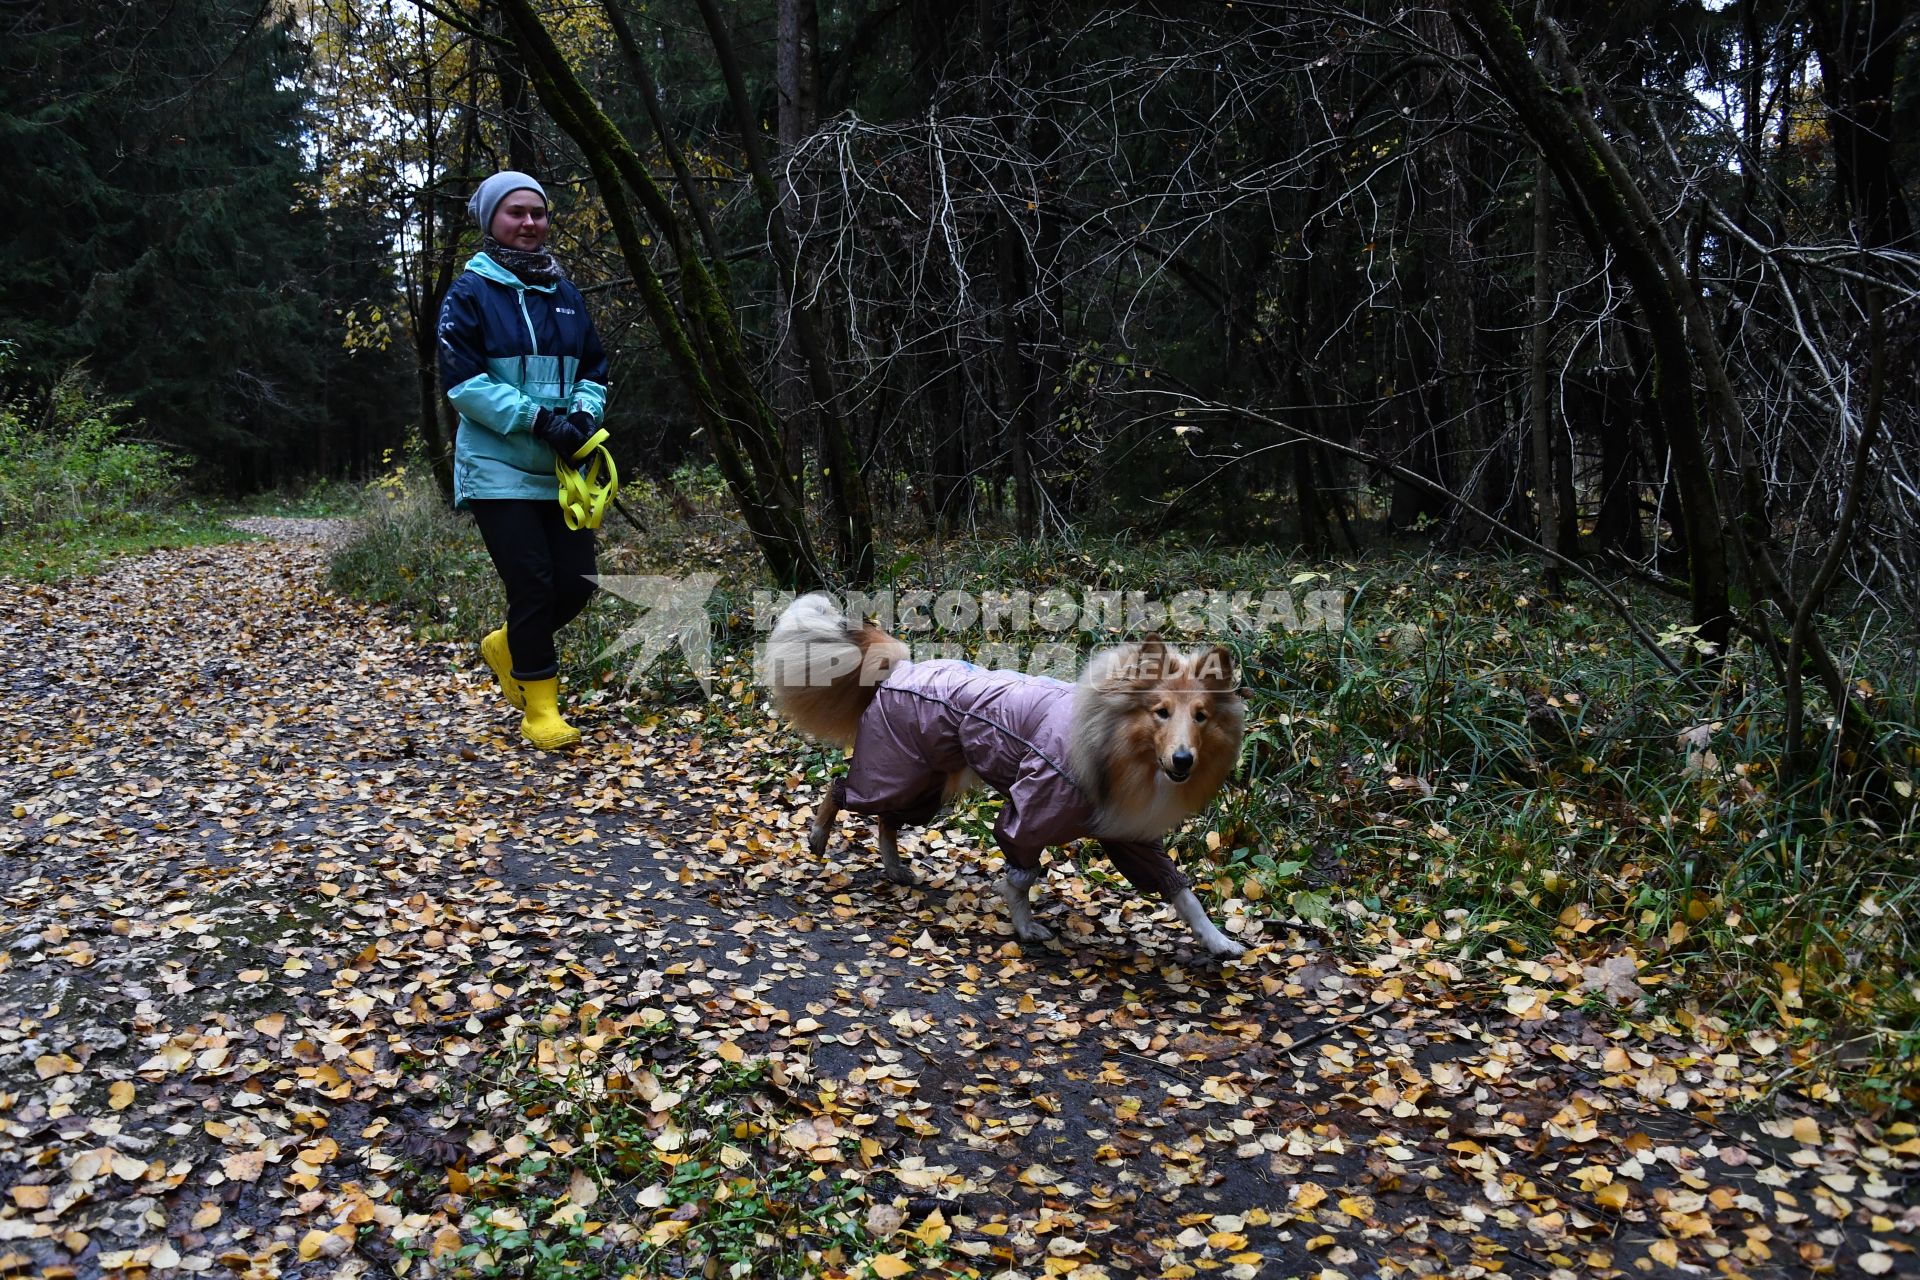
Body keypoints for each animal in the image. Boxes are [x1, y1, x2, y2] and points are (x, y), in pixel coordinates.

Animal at [764, 591, 1244, 951]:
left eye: (1201, 717)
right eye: (1160, 712)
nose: (1183, 760)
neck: (1111, 743)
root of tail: (901, 666)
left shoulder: (1128, 835)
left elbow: (1181, 891)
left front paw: (1219, 942)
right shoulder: (1028, 814)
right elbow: (1019, 879)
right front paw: (1024, 926)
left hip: (922, 786)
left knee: (887, 819)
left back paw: (895, 868)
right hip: (895, 772)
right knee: (840, 789)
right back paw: (818, 836)